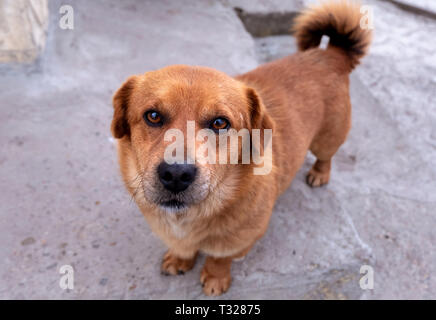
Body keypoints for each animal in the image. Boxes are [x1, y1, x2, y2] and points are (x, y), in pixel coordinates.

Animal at [110, 1, 372, 296]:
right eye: (153, 116)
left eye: (220, 122)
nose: (176, 175)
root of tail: (330, 54)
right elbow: (183, 249)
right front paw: (180, 259)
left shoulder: (241, 240)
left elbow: (219, 258)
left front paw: (215, 278)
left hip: (327, 138)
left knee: (326, 156)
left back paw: (319, 174)